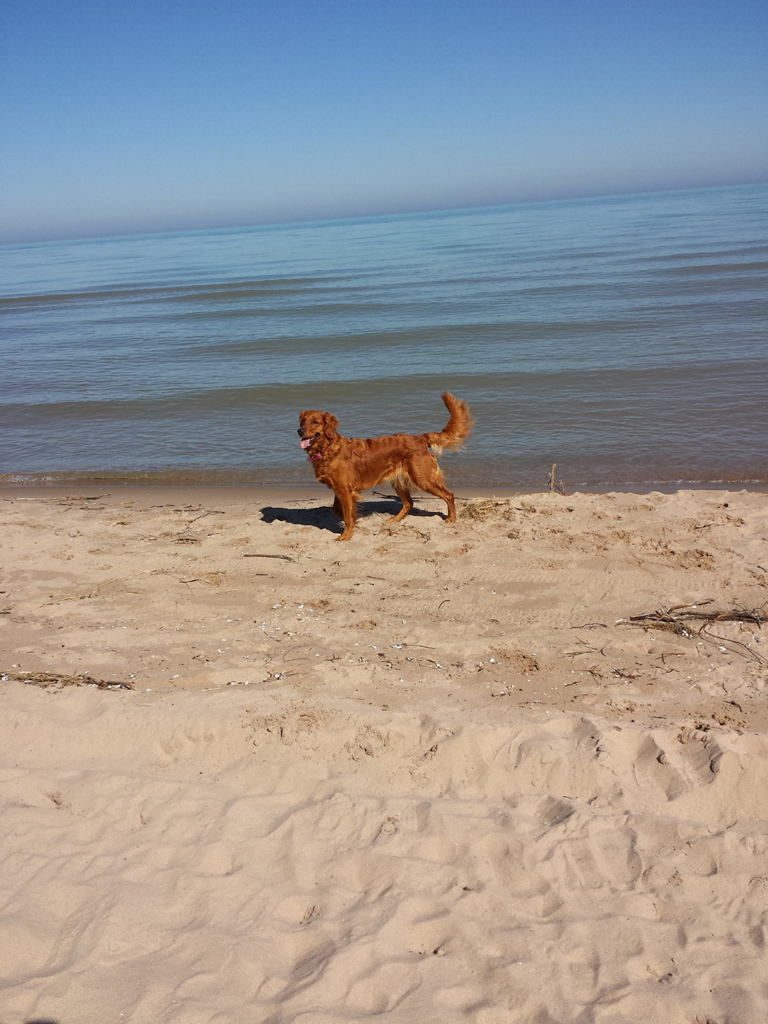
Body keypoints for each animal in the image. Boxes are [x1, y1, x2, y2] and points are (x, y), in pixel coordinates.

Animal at [301, 389, 475, 540]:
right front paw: (357, 519)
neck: (328, 448)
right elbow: (339, 511)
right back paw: (394, 520)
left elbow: (347, 516)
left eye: (315, 422)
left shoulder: (344, 490)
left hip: (423, 479)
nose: (299, 431)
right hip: (400, 481)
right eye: (302, 421)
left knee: (448, 495)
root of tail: (420, 438)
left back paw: (451, 518)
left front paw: (345, 536)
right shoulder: (341, 490)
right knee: (409, 503)